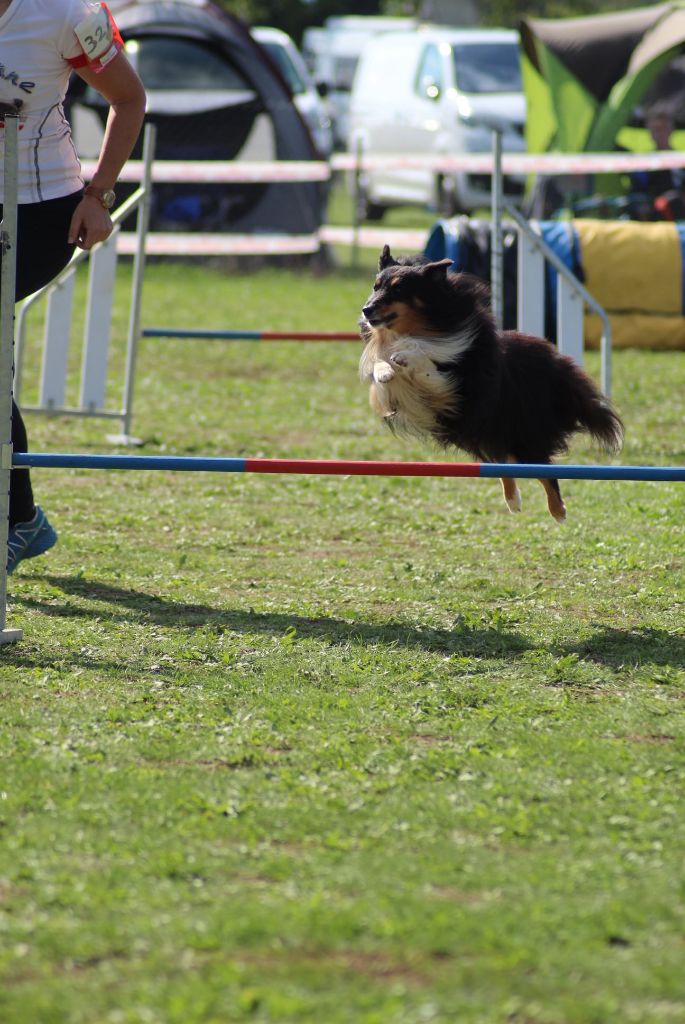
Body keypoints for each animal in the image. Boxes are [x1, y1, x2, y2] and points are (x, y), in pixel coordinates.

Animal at [360, 245, 622, 520]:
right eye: (376, 286)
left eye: (398, 289)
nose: (366, 310)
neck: (421, 328)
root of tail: (552, 358)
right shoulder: (392, 397)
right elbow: (379, 368)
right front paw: (385, 370)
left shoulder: (457, 385)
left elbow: (426, 358)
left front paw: (405, 355)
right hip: (484, 431)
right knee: (502, 461)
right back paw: (514, 501)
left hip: (517, 432)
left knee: (543, 469)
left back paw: (558, 510)